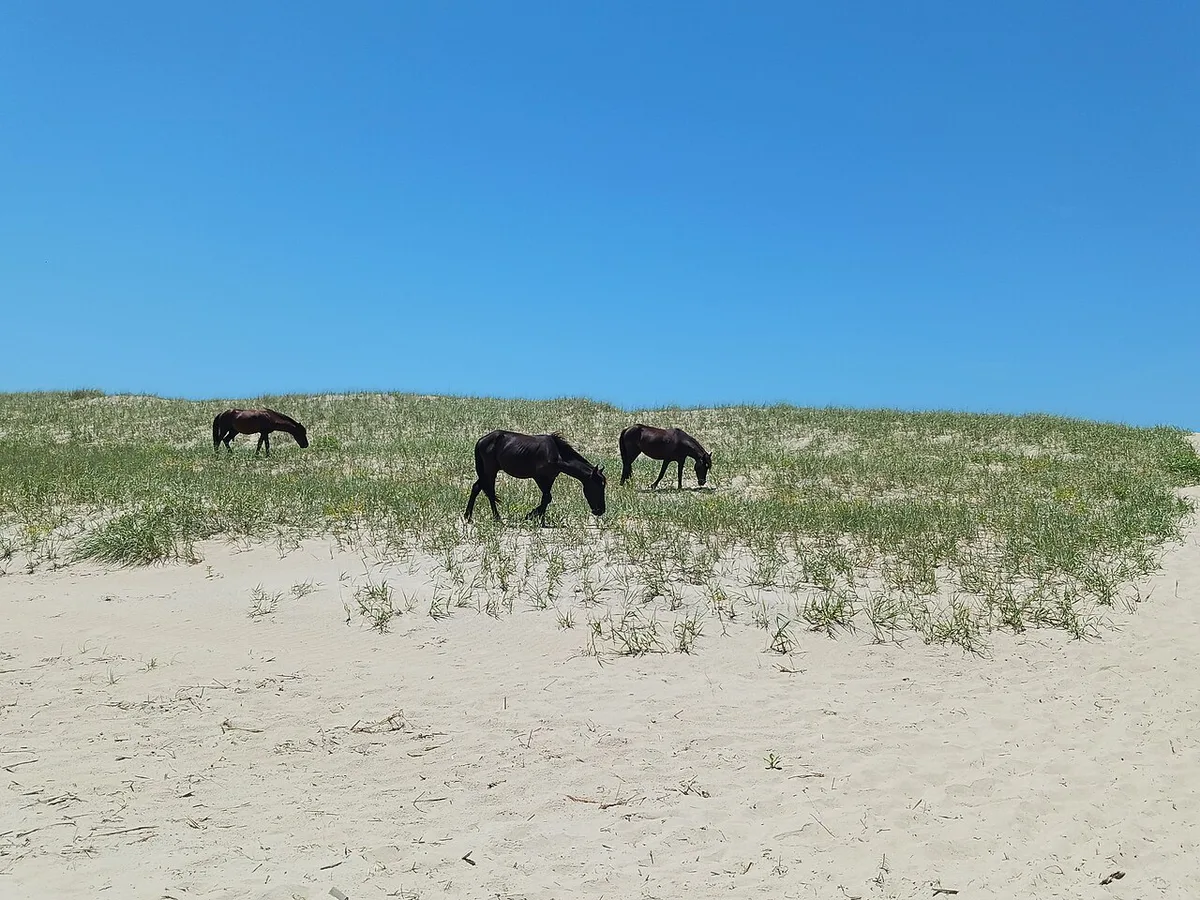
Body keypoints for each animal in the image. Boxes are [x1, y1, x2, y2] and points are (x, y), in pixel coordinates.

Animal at [464, 430, 607, 525]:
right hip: (490, 471)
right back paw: (496, 518)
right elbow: (547, 498)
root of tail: (481, 440)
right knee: (489, 492)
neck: (556, 454)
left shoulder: (550, 478)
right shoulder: (540, 478)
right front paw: (530, 516)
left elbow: (546, 499)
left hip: (486, 472)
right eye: (598, 486)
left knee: (477, 487)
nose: (600, 511)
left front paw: (539, 519)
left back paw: (468, 517)